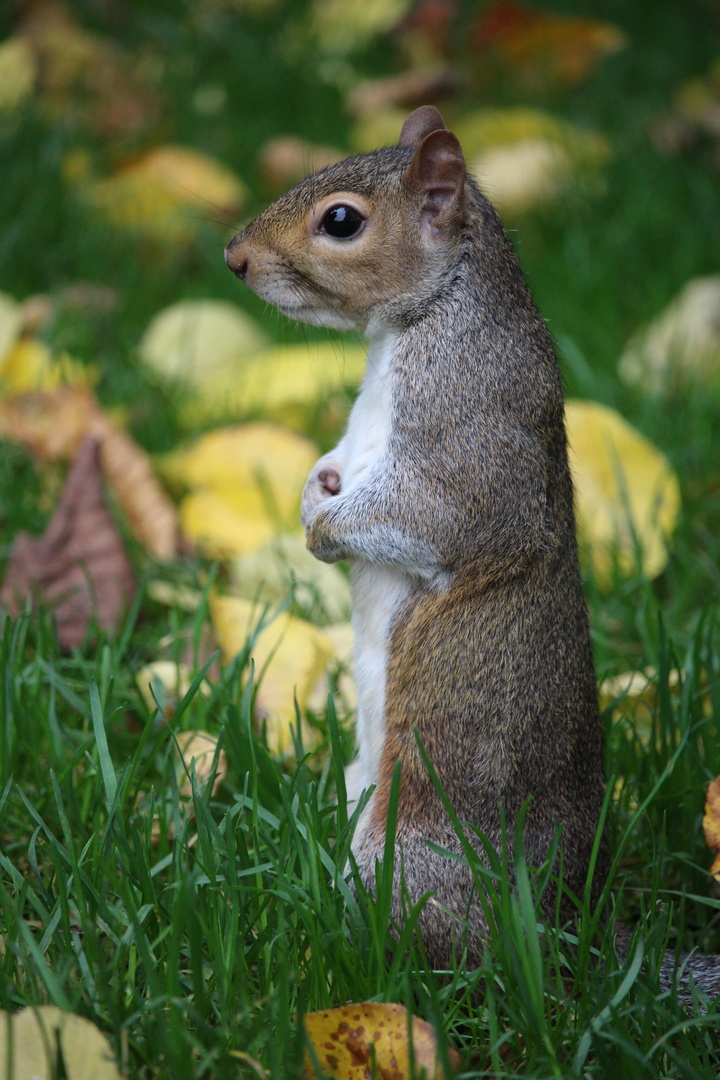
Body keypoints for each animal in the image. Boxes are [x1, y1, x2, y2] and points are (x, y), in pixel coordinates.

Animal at [225, 105, 720, 997]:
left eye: (341, 221)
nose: (234, 257)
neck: (424, 319)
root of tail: (571, 933)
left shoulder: (470, 434)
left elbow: (433, 517)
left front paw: (325, 531)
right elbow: (336, 466)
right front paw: (315, 491)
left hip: (413, 855)